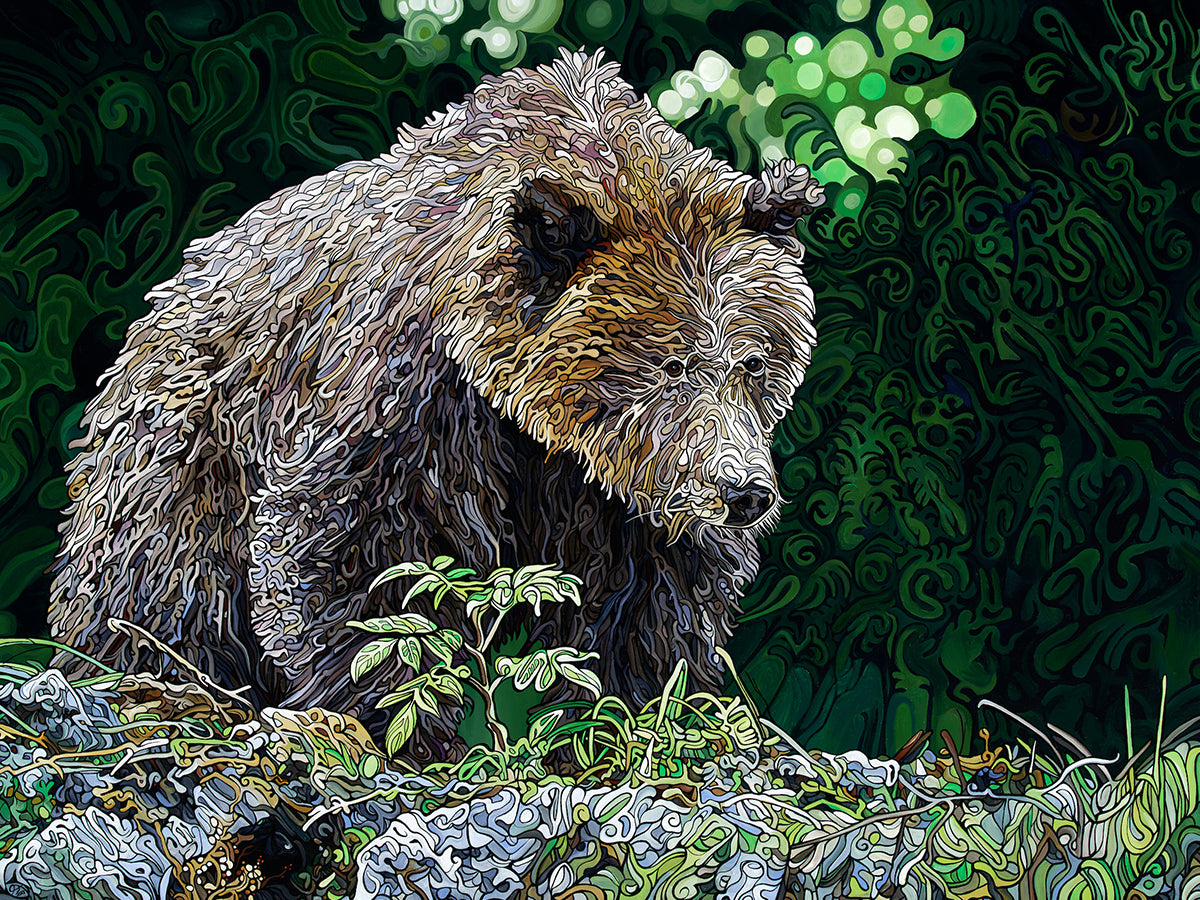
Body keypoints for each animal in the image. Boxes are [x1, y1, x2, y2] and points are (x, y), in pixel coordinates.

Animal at [48, 50, 822, 749]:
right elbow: (360, 548)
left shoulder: (617, 494)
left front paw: (633, 718)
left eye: (754, 363)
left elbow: (651, 600)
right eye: (666, 366)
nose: (744, 492)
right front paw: (397, 720)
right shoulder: (412, 395)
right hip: (186, 450)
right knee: (161, 589)